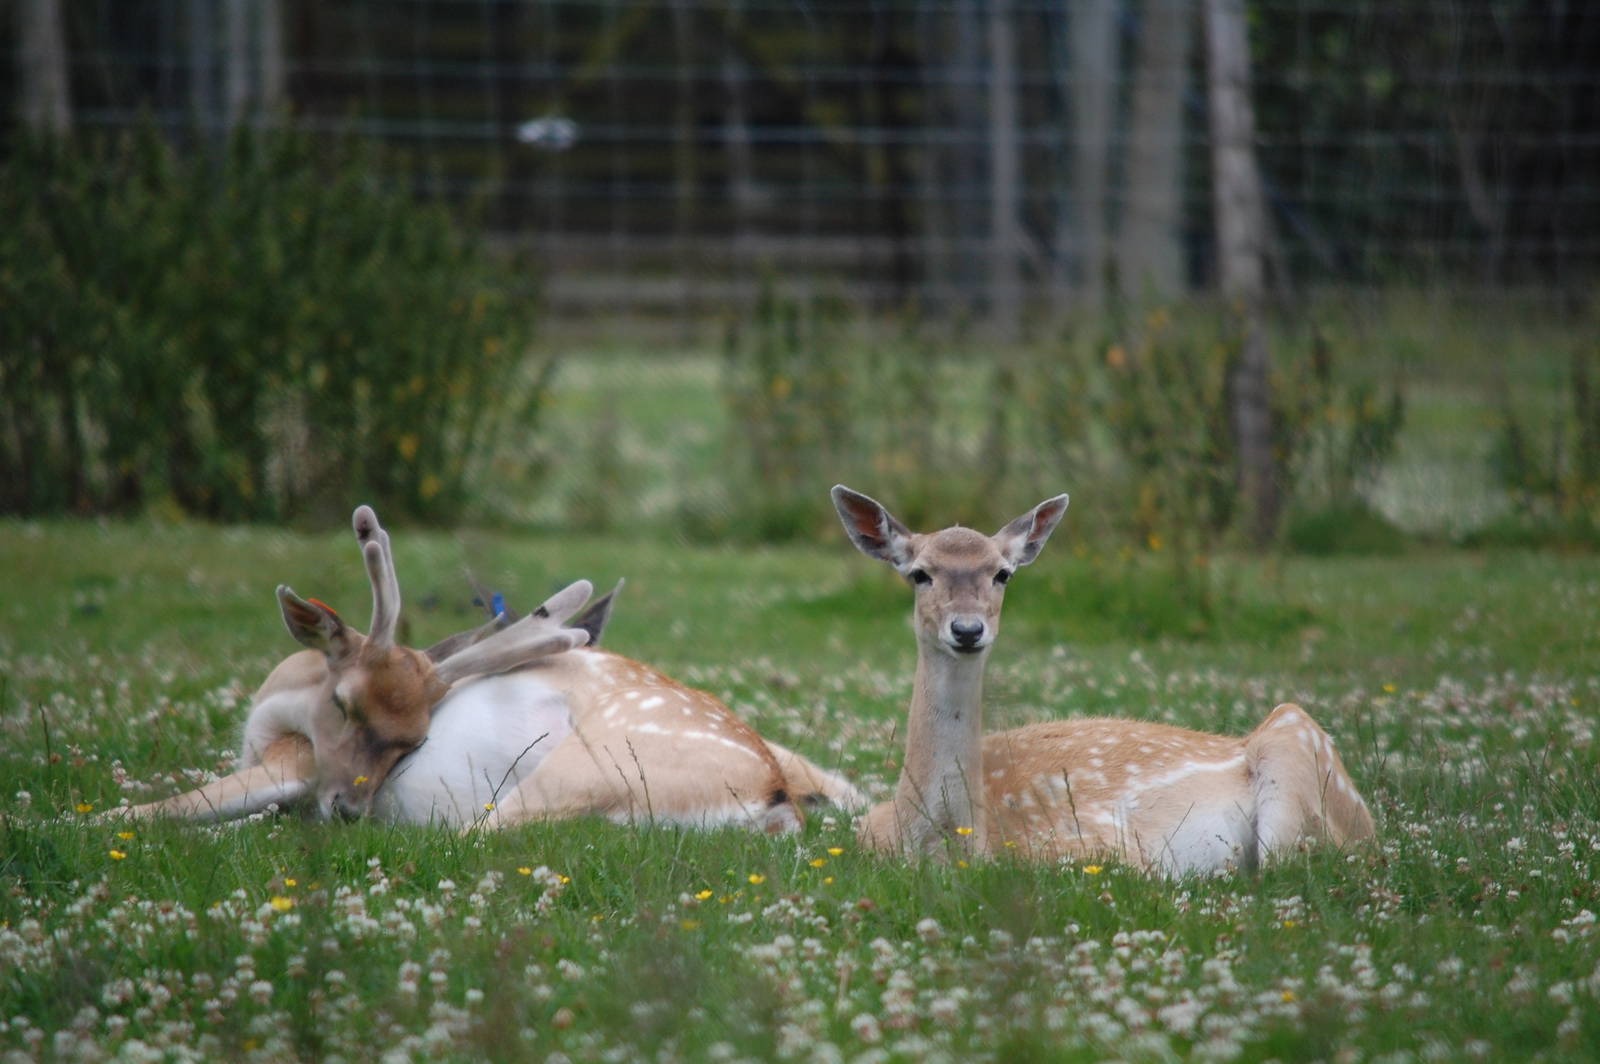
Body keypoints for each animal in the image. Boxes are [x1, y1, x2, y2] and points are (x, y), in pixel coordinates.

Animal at [120, 506, 863, 830]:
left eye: (414, 739)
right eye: (346, 705)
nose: (348, 810)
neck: (271, 713)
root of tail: (775, 793)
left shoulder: (292, 765)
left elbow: (159, 808)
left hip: (582, 771)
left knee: (476, 835)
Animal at [831, 485, 1375, 875]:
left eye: (1003, 573)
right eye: (919, 573)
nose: (967, 629)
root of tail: (1371, 827)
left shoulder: (1101, 848)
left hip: (1297, 754)